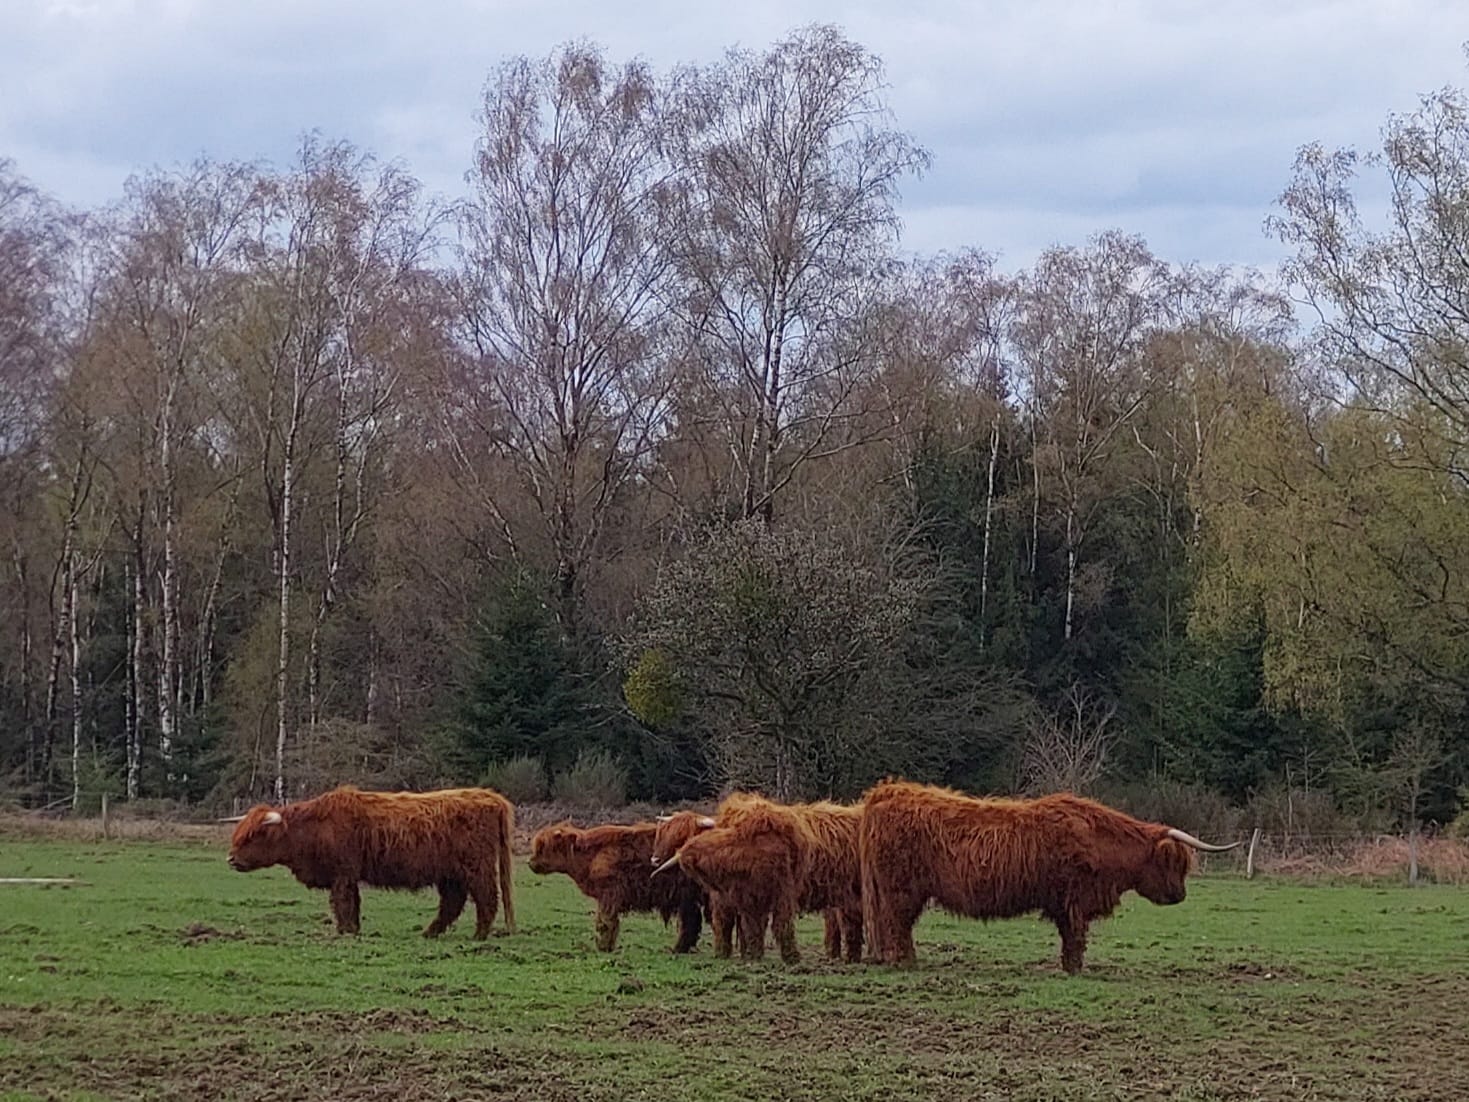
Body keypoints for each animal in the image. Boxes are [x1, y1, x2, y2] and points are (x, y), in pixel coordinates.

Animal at [220, 787, 514, 940]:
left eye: (254, 835)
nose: (231, 859)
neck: (313, 828)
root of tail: (489, 796)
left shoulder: (342, 873)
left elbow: (343, 902)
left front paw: (345, 931)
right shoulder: (348, 875)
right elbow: (352, 903)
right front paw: (352, 930)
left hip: (476, 867)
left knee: (487, 898)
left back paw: (479, 935)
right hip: (451, 874)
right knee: (452, 903)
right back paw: (430, 933)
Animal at [531, 822, 708, 958]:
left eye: (542, 847)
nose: (530, 862)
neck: (591, 857)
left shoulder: (609, 893)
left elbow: (605, 922)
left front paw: (603, 947)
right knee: (691, 921)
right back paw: (680, 949)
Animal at [857, 775, 1245, 975]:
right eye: (1174, 864)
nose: (1181, 896)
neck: (1103, 842)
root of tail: (888, 791)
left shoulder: (1064, 902)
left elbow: (1068, 937)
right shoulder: (1076, 899)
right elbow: (1075, 937)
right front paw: (1075, 968)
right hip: (900, 891)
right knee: (897, 925)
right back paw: (907, 963)